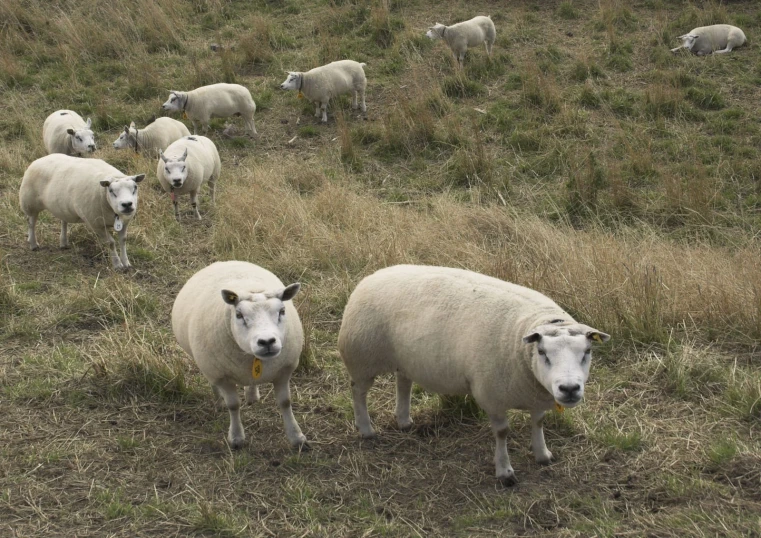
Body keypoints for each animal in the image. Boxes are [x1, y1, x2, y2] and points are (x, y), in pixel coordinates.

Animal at [18, 153, 146, 270]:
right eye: (111, 190)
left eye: (135, 187)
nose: (127, 204)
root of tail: (41, 158)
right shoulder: (96, 224)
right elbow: (110, 243)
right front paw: (117, 265)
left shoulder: (125, 222)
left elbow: (123, 240)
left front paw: (126, 263)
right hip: (30, 203)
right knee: (31, 223)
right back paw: (33, 244)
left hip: (61, 205)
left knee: (63, 221)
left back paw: (63, 243)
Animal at [173, 260, 308, 448]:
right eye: (238, 315)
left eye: (282, 311)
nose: (267, 341)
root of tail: (226, 261)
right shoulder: (222, 376)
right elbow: (233, 405)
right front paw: (236, 438)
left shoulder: (284, 371)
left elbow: (285, 402)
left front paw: (296, 437)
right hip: (206, 364)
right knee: (213, 384)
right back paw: (219, 402)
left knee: (251, 382)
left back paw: (252, 396)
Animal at [336, 262, 608, 484]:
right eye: (542, 352)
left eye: (587, 351)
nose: (569, 389)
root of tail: (374, 275)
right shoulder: (492, 395)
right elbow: (502, 433)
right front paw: (505, 472)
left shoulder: (536, 394)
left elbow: (538, 422)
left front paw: (543, 454)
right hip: (362, 359)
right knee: (358, 392)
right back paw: (366, 429)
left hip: (406, 358)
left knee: (403, 383)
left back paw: (404, 420)